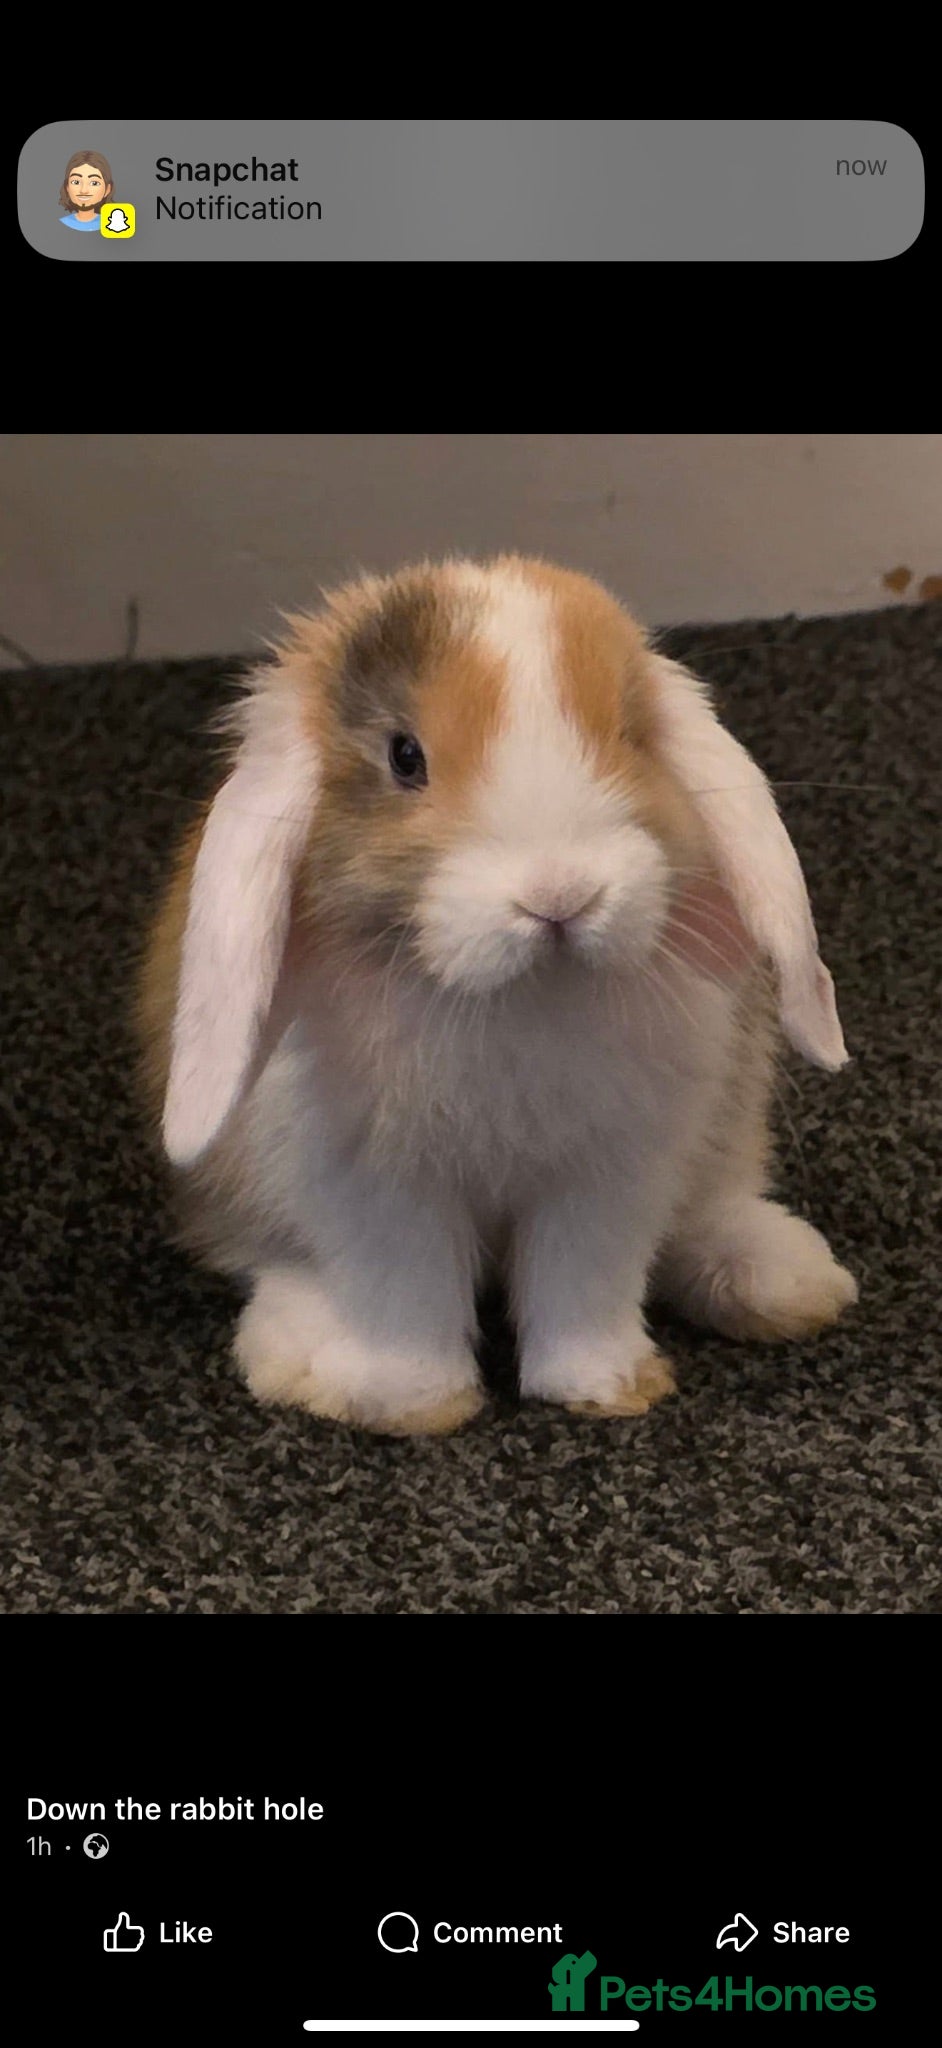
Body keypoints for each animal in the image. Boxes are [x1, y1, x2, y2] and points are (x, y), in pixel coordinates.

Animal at [136, 555, 857, 1435]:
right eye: (404, 756)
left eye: (631, 734)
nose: (561, 896)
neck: (522, 995)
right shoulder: (376, 1184)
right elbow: (406, 1292)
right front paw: (414, 1405)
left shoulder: (608, 1173)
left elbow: (585, 1281)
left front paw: (604, 1388)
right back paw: (301, 1354)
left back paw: (781, 1280)